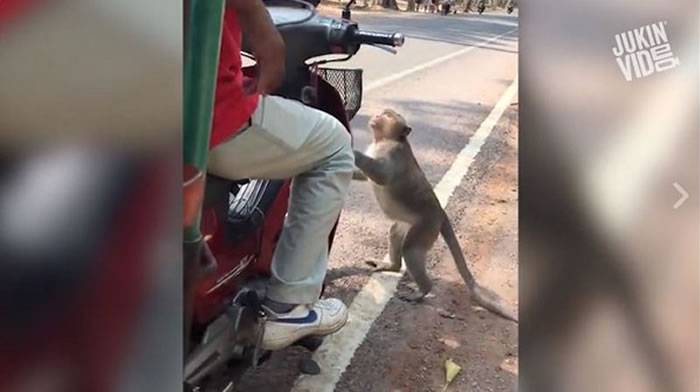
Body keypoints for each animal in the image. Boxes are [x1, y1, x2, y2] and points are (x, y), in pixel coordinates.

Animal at [352, 109, 516, 322]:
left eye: (388, 116)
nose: (378, 115)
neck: (385, 139)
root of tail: (440, 212)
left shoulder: (393, 153)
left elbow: (382, 175)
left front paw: (353, 152)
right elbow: (366, 176)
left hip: (425, 226)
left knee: (411, 250)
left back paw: (422, 291)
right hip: (408, 224)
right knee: (395, 232)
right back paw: (392, 266)